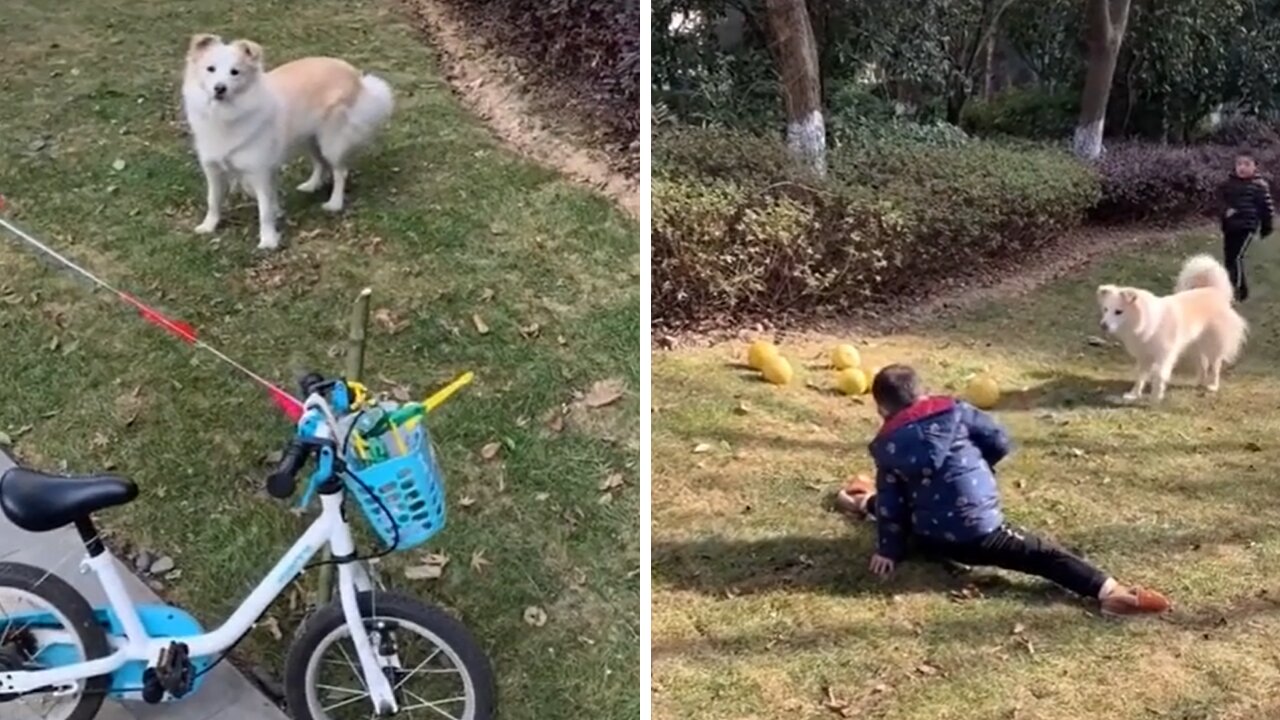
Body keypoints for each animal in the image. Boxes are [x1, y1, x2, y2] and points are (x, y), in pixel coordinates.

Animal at [177, 35, 391, 251]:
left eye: (235, 72)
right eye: (210, 69)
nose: (219, 88)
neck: (226, 115)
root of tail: (357, 77)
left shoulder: (259, 172)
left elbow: (264, 211)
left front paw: (268, 240)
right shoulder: (213, 170)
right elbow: (213, 201)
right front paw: (209, 226)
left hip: (330, 143)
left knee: (340, 172)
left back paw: (334, 203)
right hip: (310, 139)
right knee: (320, 164)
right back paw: (311, 185)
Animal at [1095, 252, 1244, 399]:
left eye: (1118, 312)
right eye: (1106, 309)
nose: (1103, 325)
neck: (1148, 323)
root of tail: (1213, 290)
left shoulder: (1164, 356)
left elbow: (1159, 375)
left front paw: (1156, 396)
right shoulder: (1144, 357)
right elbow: (1140, 376)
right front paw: (1134, 394)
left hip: (1213, 345)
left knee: (1215, 366)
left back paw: (1213, 386)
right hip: (1194, 347)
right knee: (1203, 365)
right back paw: (1198, 382)